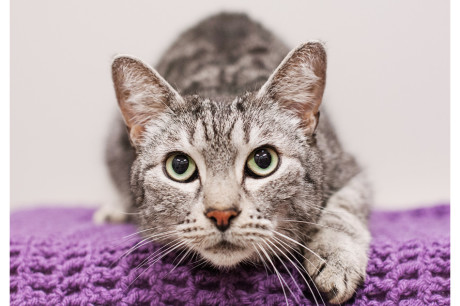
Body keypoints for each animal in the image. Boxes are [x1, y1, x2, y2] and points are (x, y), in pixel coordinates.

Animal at [95, 13, 372, 304]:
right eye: (179, 166)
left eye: (263, 160)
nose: (221, 214)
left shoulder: (349, 170)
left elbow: (341, 211)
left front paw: (335, 258)